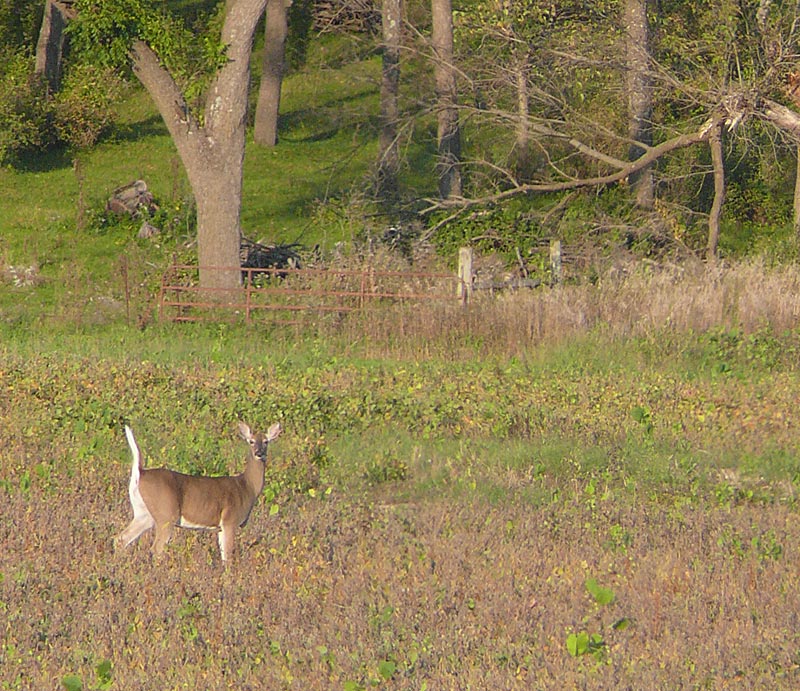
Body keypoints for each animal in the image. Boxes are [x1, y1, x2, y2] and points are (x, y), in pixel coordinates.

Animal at [115, 421, 282, 563]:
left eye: (266, 441)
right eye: (251, 441)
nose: (259, 453)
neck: (247, 487)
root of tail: (140, 473)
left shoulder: (220, 527)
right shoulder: (230, 520)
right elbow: (227, 558)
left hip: (143, 514)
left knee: (120, 539)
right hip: (166, 514)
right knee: (155, 549)